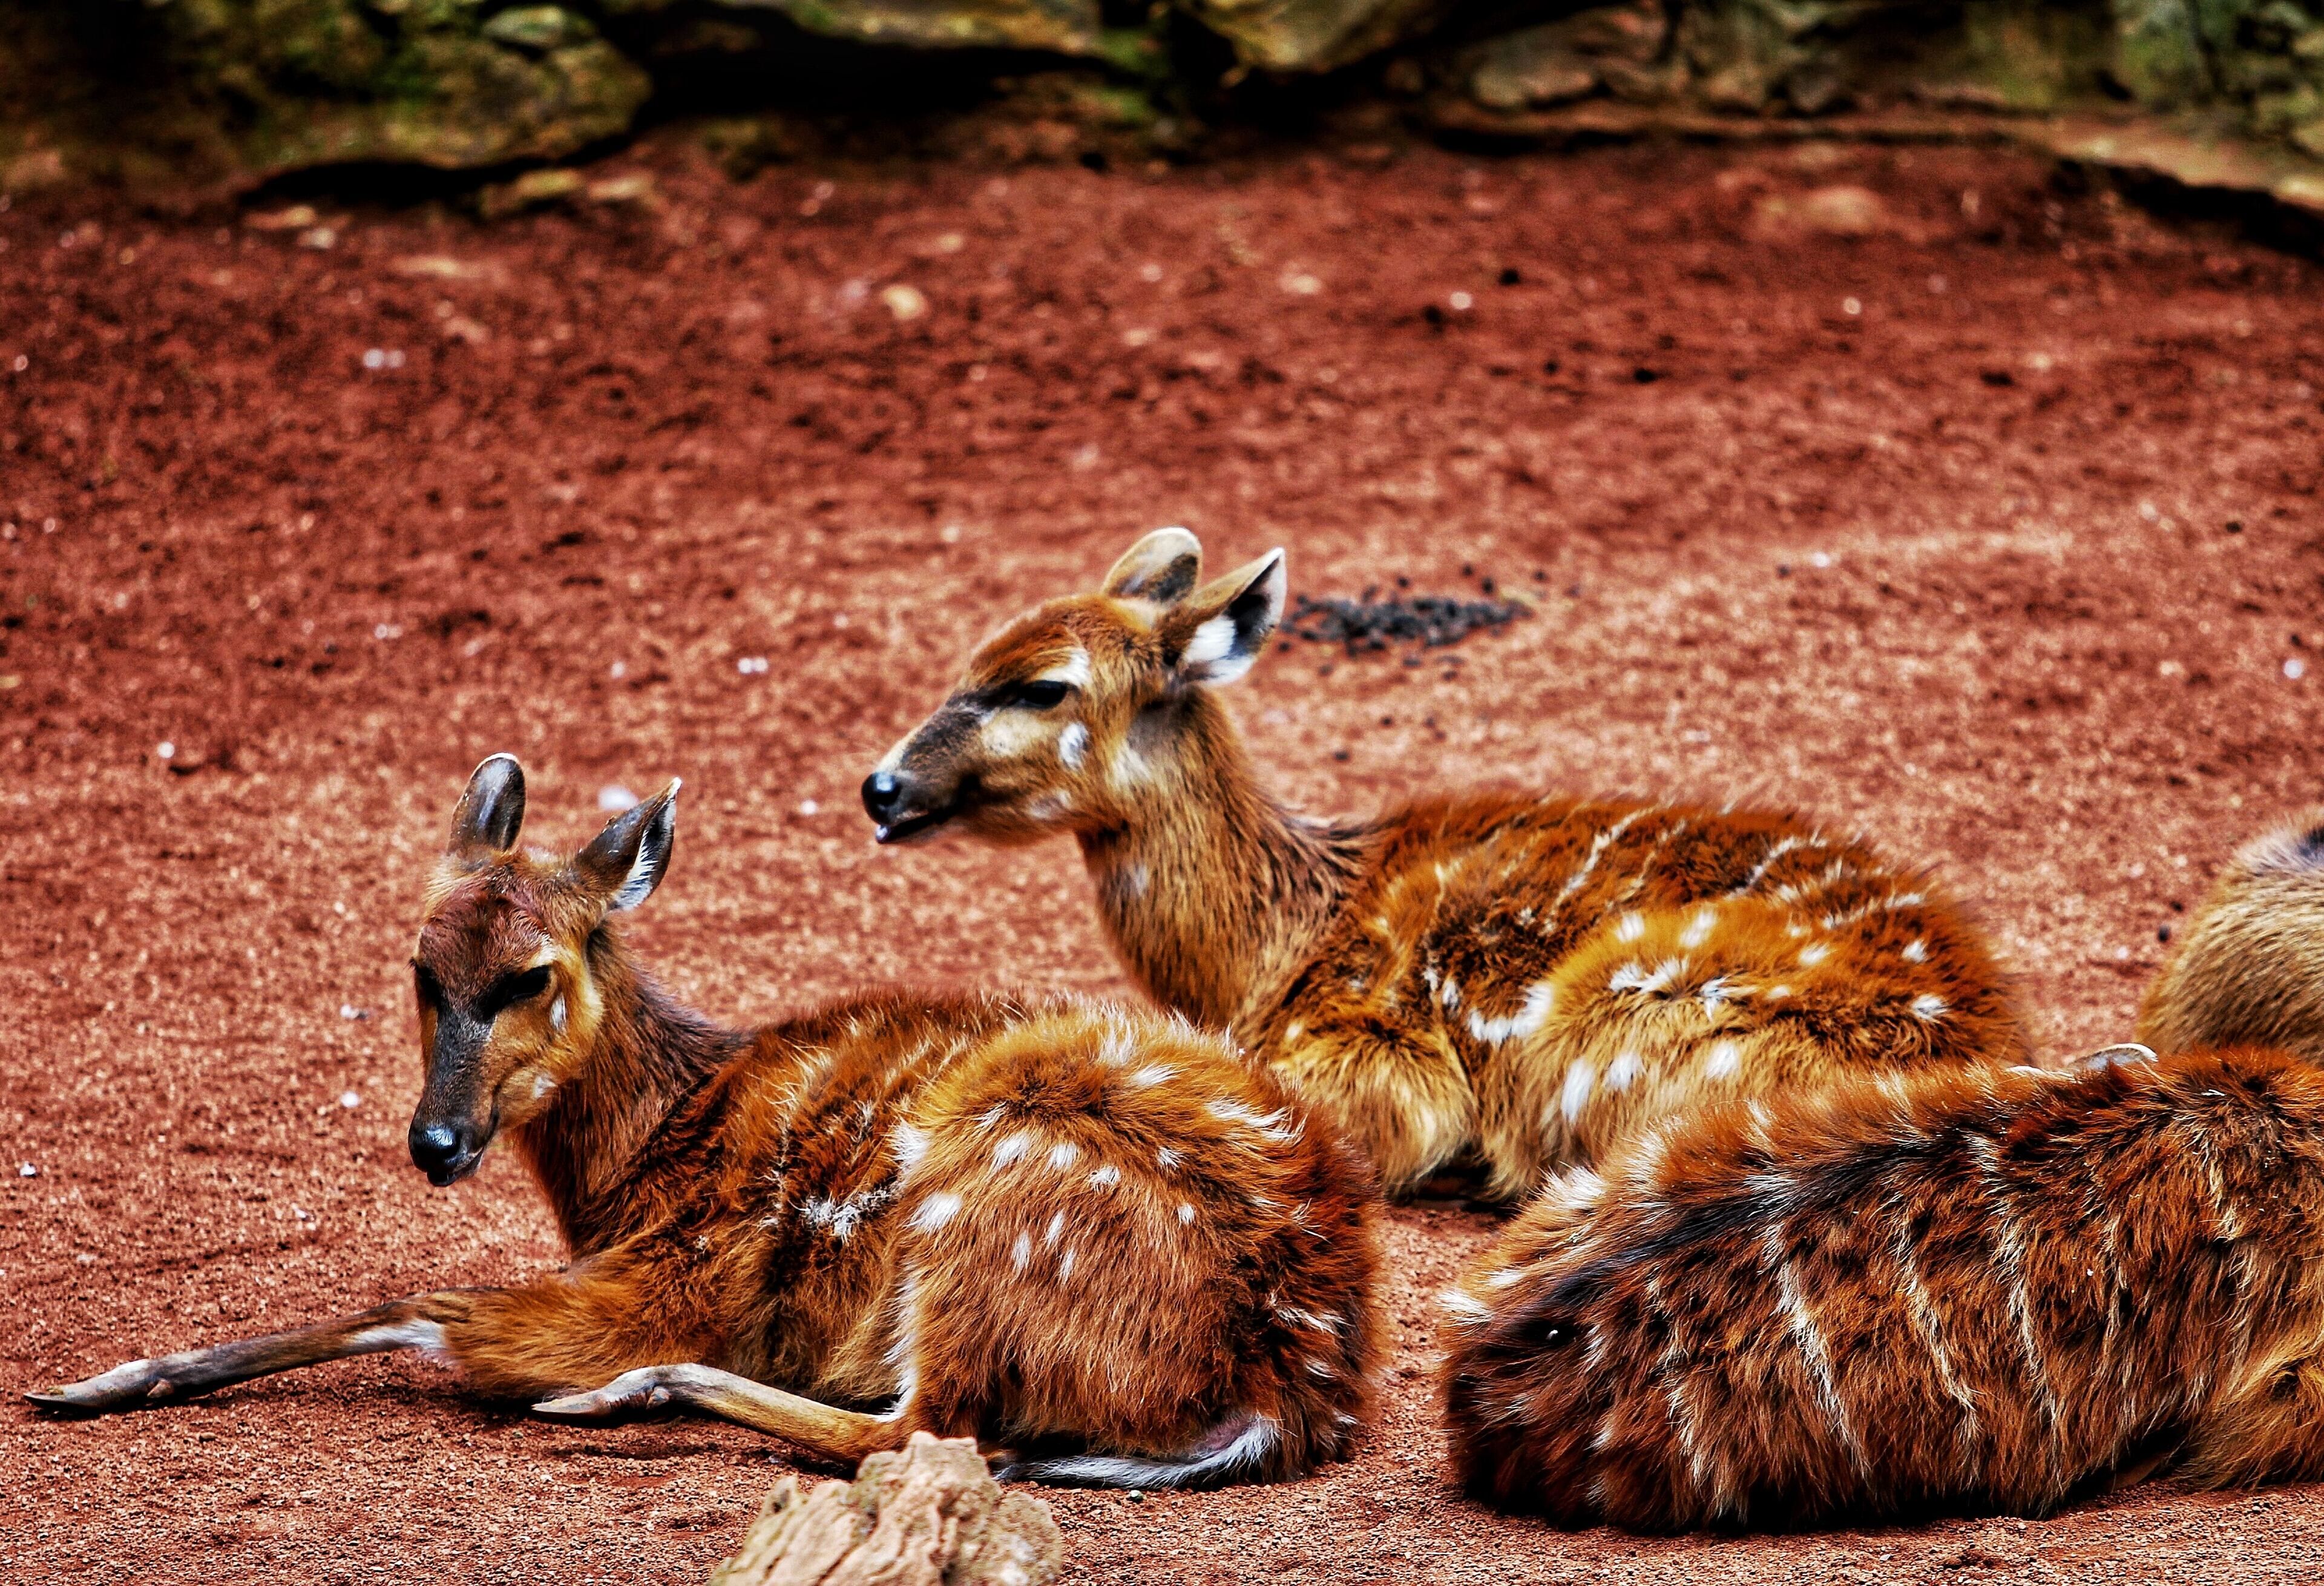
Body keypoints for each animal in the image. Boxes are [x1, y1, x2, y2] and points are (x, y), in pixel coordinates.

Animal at [29, 755, 1383, 1490]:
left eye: (531, 973)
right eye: (419, 965)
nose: (436, 1141)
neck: (648, 1148)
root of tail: (1297, 1379)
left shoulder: (674, 1274)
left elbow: (418, 1306)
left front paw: (91, 1380)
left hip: (985, 1201)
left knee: (921, 1429)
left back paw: (623, 1396)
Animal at [861, 527, 2023, 1202]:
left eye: (1042, 686)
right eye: (969, 658)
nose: (881, 788)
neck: (1273, 951)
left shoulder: (1375, 1061)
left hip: (1610, 1020)